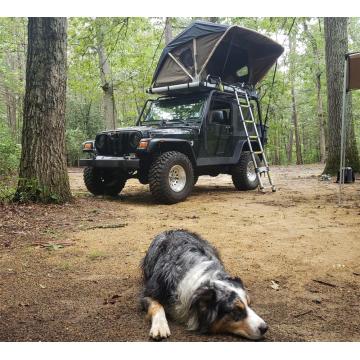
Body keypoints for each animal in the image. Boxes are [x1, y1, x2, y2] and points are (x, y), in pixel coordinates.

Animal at [140, 231, 268, 340]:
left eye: (249, 304)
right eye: (236, 310)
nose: (265, 328)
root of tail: (173, 230)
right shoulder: (147, 293)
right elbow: (157, 305)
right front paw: (160, 327)